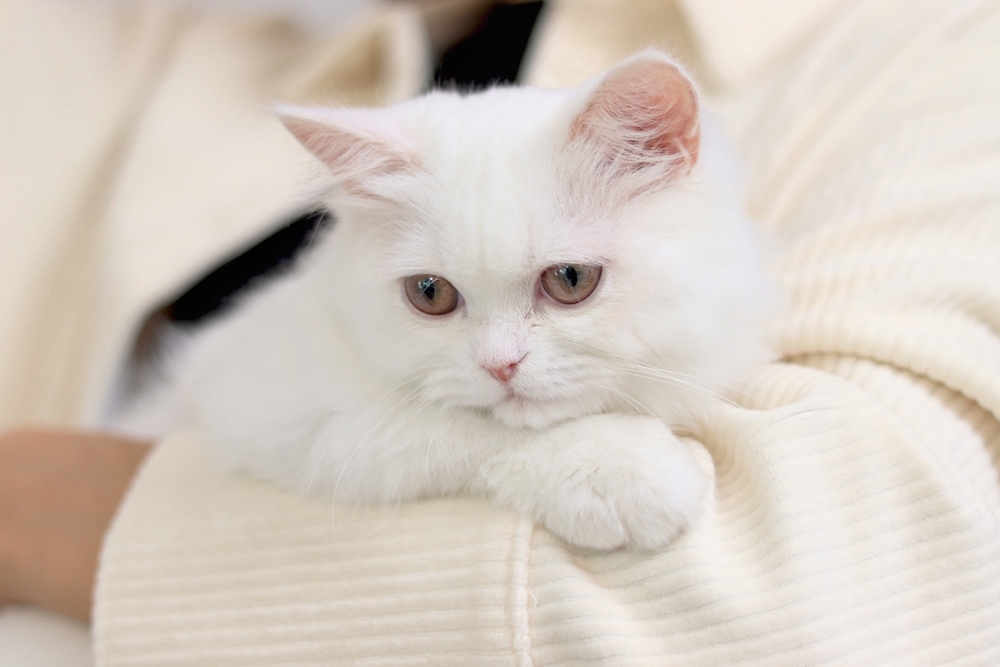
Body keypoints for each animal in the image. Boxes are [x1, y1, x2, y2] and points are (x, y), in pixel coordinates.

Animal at [117, 52, 772, 552]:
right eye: (430, 294)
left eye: (570, 280)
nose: (500, 366)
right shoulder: (271, 407)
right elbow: (458, 430)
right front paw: (617, 467)